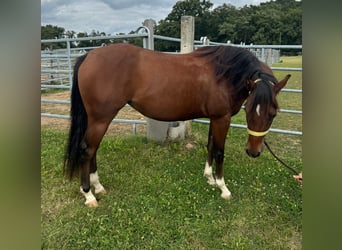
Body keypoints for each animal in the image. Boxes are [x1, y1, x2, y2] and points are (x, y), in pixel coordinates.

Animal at [63, 43, 288, 207]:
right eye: (248, 109)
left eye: (273, 113)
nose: (253, 152)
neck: (224, 73)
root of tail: (89, 56)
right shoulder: (222, 118)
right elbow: (219, 152)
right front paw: (223, 188)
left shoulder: (214, 118)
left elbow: (210, 146)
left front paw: (209, 178)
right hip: (101, 119)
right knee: (87, 150)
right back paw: (89, 195)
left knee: (92, 149)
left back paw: (98, 187)